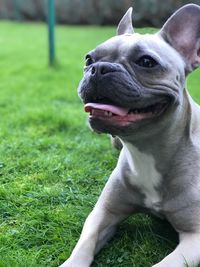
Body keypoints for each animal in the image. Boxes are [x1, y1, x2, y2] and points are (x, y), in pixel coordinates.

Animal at [60, 4, 200, 267]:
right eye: (89, 59)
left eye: (146, 61)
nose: (99, 68)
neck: (145, 149)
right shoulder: (103, 213)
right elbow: (83, 246)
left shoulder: (194, 237)